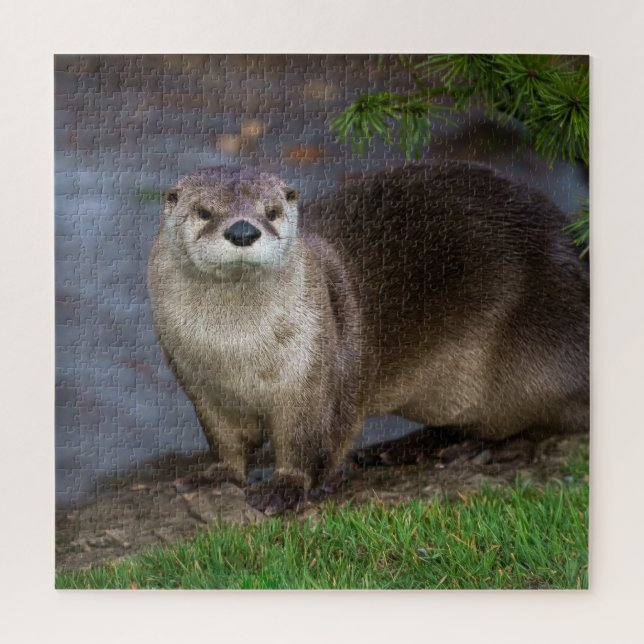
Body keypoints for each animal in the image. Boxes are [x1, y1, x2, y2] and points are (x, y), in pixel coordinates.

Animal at [148, 162, 589, 515]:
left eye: (270, 211)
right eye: (205, 212)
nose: (243, 230)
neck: (235, 353)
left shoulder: (317, 378)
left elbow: (313, 440)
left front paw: (285, 487)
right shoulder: (201, 388)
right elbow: (225, 441)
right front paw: (217, 475)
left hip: (539, 354)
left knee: (551, 421)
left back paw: (485, 449)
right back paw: (400, 448)